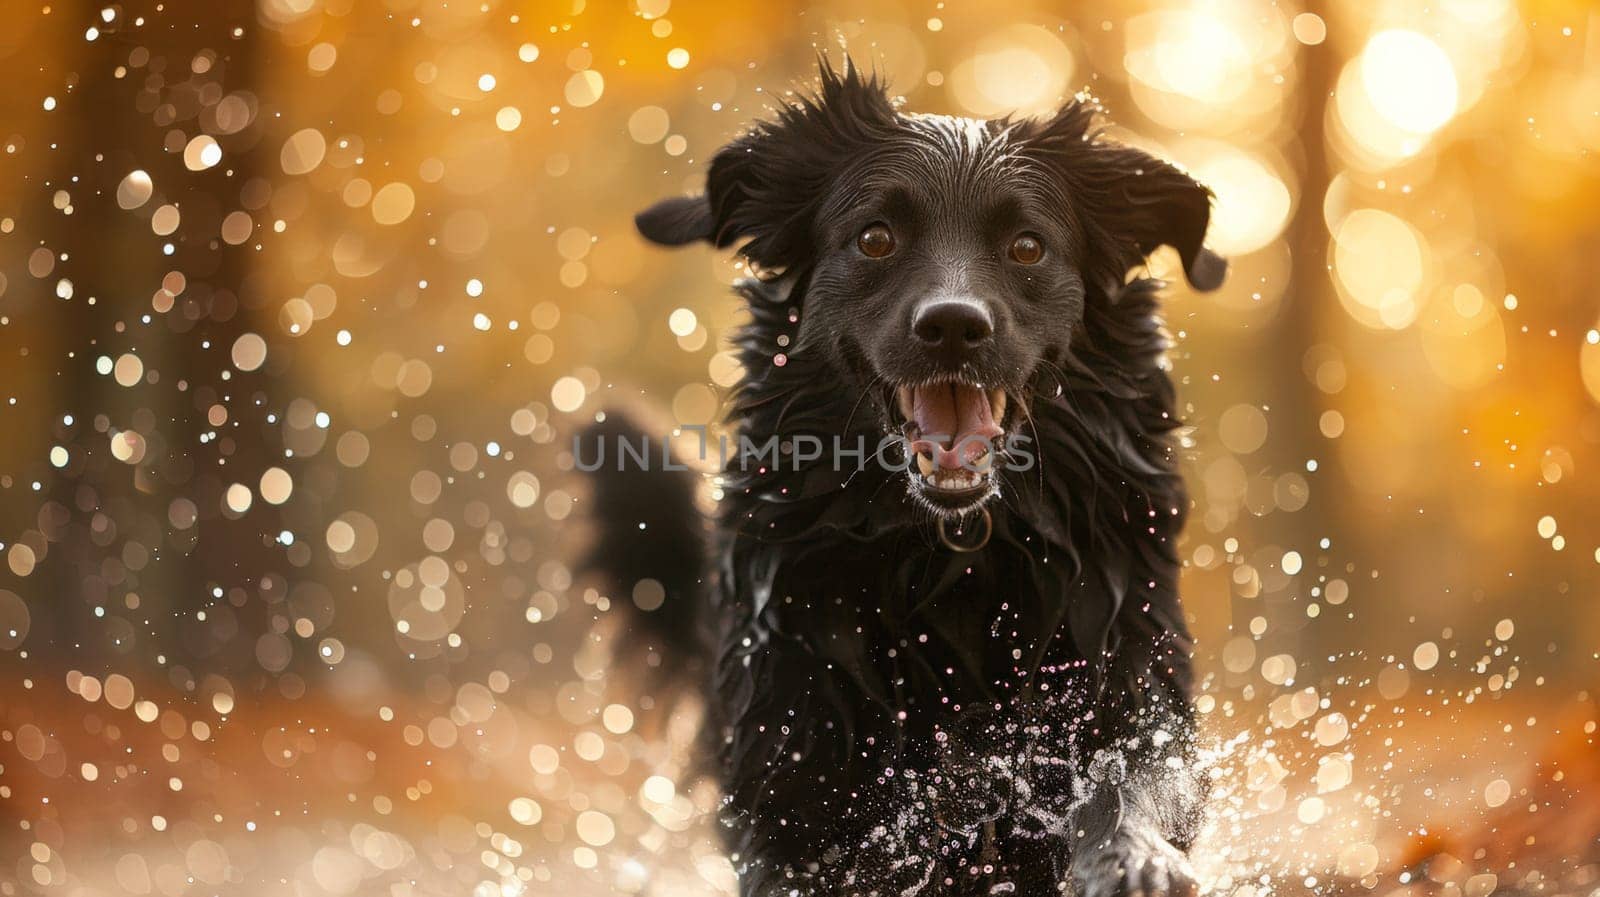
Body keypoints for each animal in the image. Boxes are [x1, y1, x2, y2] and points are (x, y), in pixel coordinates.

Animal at [588, 63, 1222, 895]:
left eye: (1027, 246)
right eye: (876, 238)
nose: (953, 325)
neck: (953, 561)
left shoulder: (1130, 676)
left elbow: (1129, 780)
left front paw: (1134, 857)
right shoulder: (788, 763)